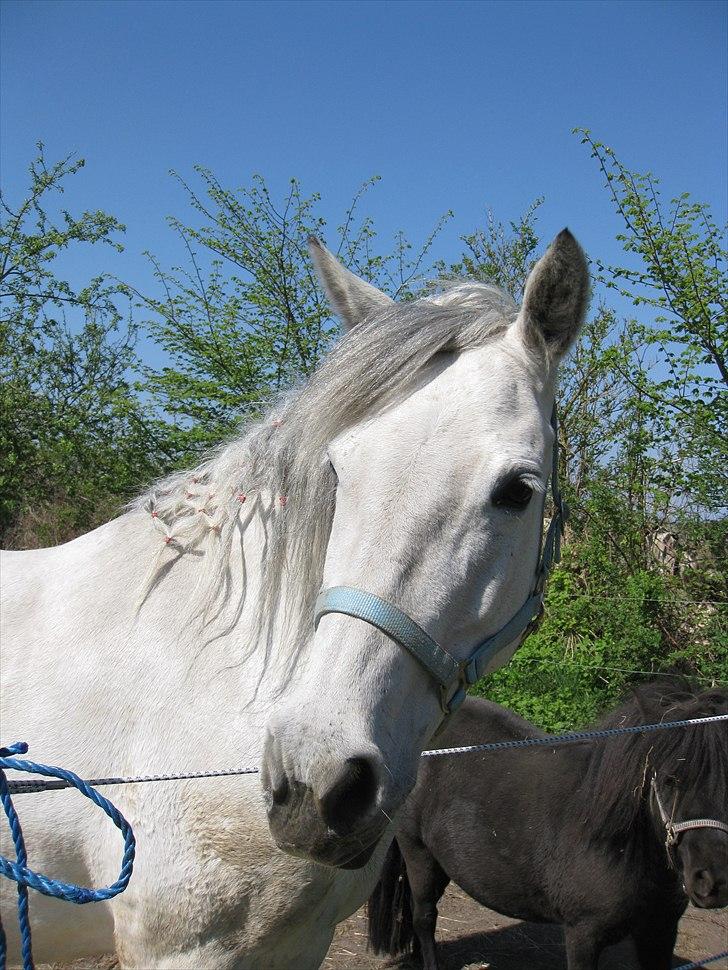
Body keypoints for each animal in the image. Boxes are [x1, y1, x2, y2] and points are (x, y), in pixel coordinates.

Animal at [0, 231, 588, 964]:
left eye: (517, 490)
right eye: (336, 472)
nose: (317, 784)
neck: (217, 685)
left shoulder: (302, 941)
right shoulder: (181, 948)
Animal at [370, 680, 728, 968]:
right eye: (669, 779)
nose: (714, 880)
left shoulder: (660, 931)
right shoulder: (583, 935)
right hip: (418, 853)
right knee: (424, 917)